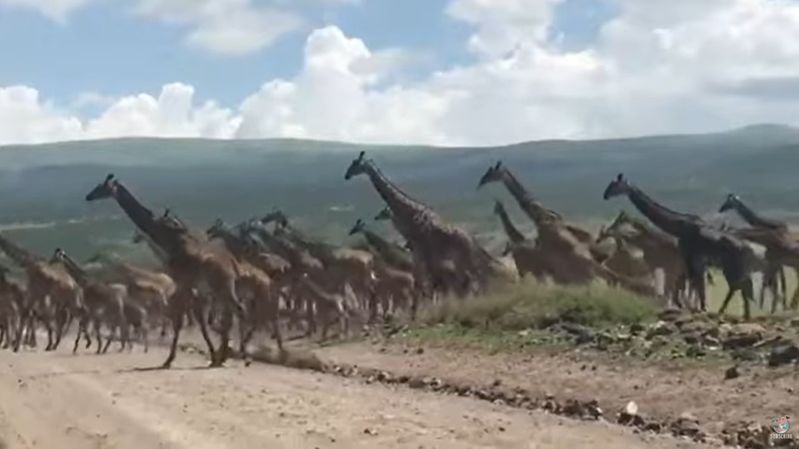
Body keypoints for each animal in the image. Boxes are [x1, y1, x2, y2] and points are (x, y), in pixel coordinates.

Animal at [85, 172, 244, 368]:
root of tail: (234, 266)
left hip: (221, 286)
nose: (88, 196)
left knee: (237, 311)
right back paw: (227, 354)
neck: (167, 238)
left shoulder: (181, 281)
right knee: (232, 314)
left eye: (101, 187)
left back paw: (238, 355)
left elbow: (180, 320)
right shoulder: (190, 284)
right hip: (222, 288)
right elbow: (195, 319)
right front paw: (213, 355)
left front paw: (169, 360)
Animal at [604, 173, 760, 316]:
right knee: (743, 286)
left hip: (732, 268)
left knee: (739, 286)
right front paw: (694, 307)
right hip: (735, 269)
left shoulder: (690, 257)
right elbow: (692, 284)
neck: (678, 226)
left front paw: (698, 307)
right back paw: (743, 313)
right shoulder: (691, 260)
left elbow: (693, 284)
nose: (605, 195)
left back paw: (732, 311)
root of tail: (751, 251)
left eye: (614, 185)